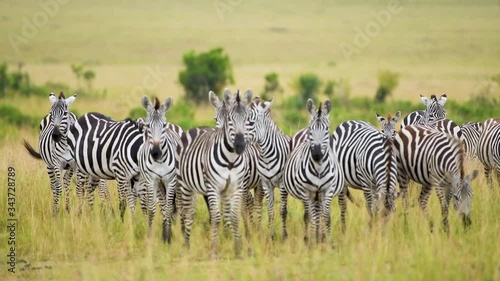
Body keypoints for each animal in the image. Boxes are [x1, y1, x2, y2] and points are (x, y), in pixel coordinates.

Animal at [178, 88, 252, 258]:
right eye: (230, 120)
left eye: (247, 120)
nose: (240, 145)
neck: (230, 159)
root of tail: (196, 128)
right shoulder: (212, 187)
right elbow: (216, 217)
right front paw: (214, 249)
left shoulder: (236, 187)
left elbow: (233, 216)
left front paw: (237, 248)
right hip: (184, 185)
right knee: (188, 214)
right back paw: (186, 245)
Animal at [282, 99, 344, 243]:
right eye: (311, 128)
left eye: (327, 129)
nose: (316, 154)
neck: (319, 169)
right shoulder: (305, 191)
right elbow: (309, 217)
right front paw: (310, 240)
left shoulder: (328, 190)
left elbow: (326, 217)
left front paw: (327, 240)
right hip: (310, 195)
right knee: (310, 214)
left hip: (319, 195)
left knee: (318, 214)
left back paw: (319, 236)